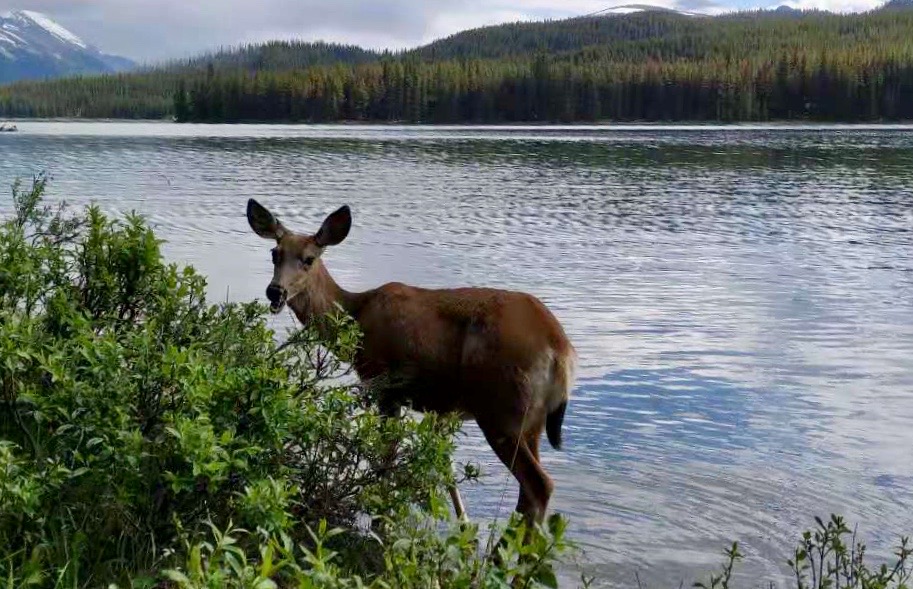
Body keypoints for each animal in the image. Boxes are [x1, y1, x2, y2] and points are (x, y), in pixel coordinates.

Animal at [246, 198, 572, 524]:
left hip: (500, 409)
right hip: (530, 421)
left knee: (540, 485)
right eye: (275, 253)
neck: (357, 317)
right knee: (528, 492)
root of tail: (562, 351)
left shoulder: (385, 386)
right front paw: (459, 522)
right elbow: (438, 465)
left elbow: (385, 462)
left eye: (309, 259)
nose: (275, 291)